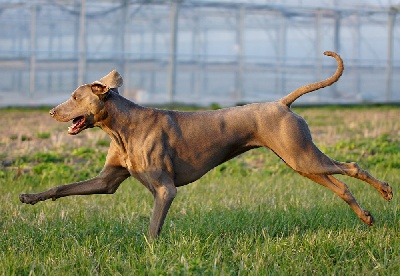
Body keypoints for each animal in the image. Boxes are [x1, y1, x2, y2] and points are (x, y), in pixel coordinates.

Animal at [18, 52, 390, 239]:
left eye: (74, 96)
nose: (51, 111)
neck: (122, 127)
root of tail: (282, 103)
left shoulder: (165, 190)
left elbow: (152, 229)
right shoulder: (107, 181)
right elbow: (62, 187)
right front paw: (29, 197)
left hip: (302, 156)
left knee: (351, 168)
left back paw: (385, 191)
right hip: (299, 160)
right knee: (341, 185)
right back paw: (367, 217)